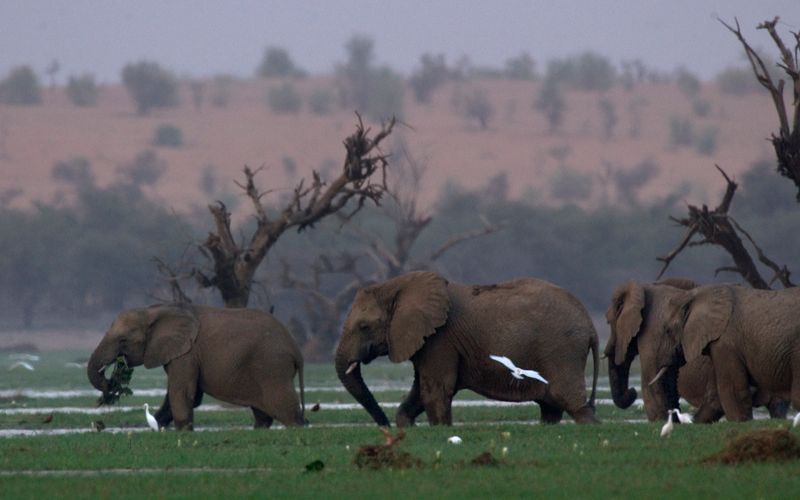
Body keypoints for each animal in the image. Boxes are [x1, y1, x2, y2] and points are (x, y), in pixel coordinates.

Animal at [86, 302, 306, 432]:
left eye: (123, 340)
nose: (112, 381)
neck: (155, 311)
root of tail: (296, 349)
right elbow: (183, 395)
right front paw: (159, 426)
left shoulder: (187, 353)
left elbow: (182, 391)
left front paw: (183, 431)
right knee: (263, 413)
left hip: (272, 366)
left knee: (284, 407)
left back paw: (298, 426)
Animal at [332, 272, 600, 428]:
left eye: (364, 327)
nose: (384, 427)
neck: (399, 286)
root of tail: (590, 324)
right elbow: (420, 390)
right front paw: (406, 426)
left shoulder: (440, 338)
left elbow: (435, 391)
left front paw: (441, 430)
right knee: (551, 407)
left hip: (562, 350)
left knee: (571, 402)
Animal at [608, 278, 788, 422]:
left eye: (608, 322)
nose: (631, 392)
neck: (643, 287)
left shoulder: (651, 333)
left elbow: (652, 381)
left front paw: (662, 422)